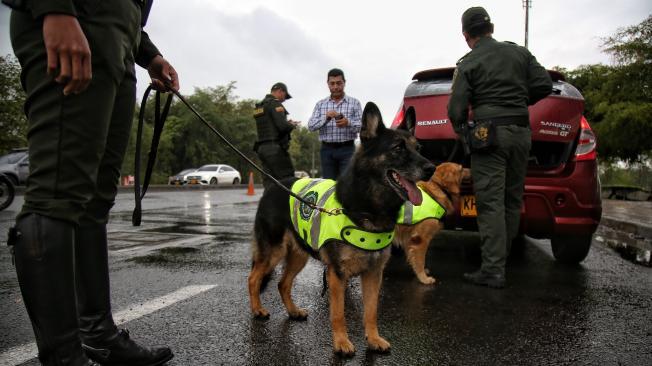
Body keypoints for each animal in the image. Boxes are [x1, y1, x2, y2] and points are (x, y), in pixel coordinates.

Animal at [247, 101, 436, 356]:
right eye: (398, 148)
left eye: (419, 148)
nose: (431, 168)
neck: (369, 206)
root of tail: (274, 185)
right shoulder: (337, 275)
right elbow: (338, 314)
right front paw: (341, 343)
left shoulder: (373, 274)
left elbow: (371, 312)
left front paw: (373, 339)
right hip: (273, 253)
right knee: (253, 279)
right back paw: (257, 310)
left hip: (298, 257)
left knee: (282, 283)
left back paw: (294, 311)